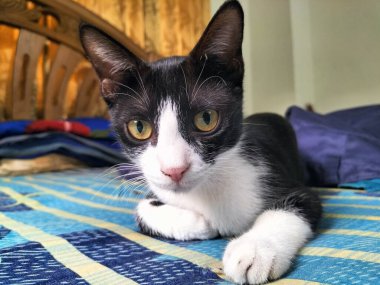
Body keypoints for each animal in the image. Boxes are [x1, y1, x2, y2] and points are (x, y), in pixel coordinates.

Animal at [79, 1, 320, 282]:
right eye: (139, 127)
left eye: (206, 119)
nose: (174, 170)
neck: (206, 190)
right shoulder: (156, 187)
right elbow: (141, 209)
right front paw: (203, 224)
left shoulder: (289, 184)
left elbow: (292, 206)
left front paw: (254, 250)